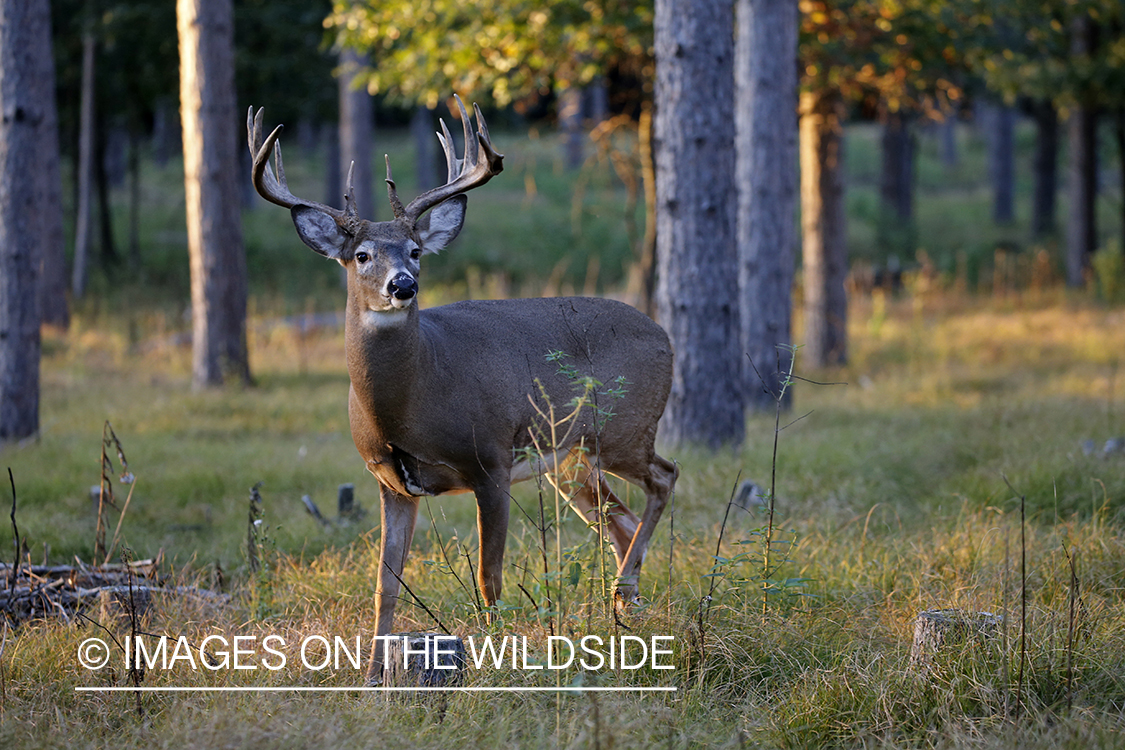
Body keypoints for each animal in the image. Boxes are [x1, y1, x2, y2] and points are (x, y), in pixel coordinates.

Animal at [246, 96, 675, 683]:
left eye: (414, 250)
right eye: (361, 254)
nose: (403, 285)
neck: (412, 400)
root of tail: (665, 335)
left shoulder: (489, 460)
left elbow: (488, 579)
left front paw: (494, 659)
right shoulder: (390, 482)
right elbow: (384, 586)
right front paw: (372, 676)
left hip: (624, 429)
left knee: (663, 477)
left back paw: (624, 592)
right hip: (569, 461)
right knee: (622, 517)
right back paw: (625, 608)